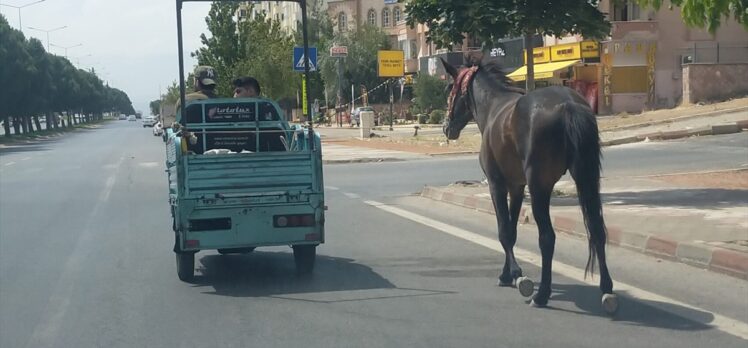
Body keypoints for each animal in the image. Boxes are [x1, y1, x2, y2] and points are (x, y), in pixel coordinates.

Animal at [442, 57, 616, 312]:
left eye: (450, 90)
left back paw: (542, 294)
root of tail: (568, 105)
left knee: (547, 237)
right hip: (586, 178)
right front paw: (507, 274)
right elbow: (512, 231)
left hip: (539, 187)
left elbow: (504, 231)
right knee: (596, 229)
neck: (493, 107)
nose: (447, 127)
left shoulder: (497, 184)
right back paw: (607, 290)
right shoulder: (516, 187)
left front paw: (516, 275)